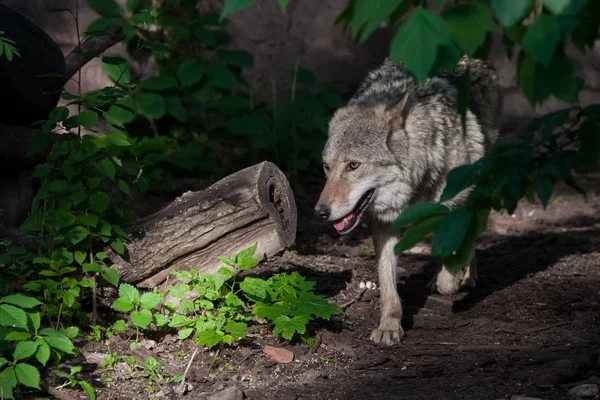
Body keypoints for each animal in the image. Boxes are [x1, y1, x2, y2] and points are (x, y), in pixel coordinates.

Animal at [314, 56, 502, 346]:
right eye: (327, 167)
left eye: (353, 165)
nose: (320, 212)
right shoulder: (384, 225)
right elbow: (388, 285)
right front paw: (390, 326)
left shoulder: (456, 206)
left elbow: (451, 255)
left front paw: (448, 280)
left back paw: (465, 276)